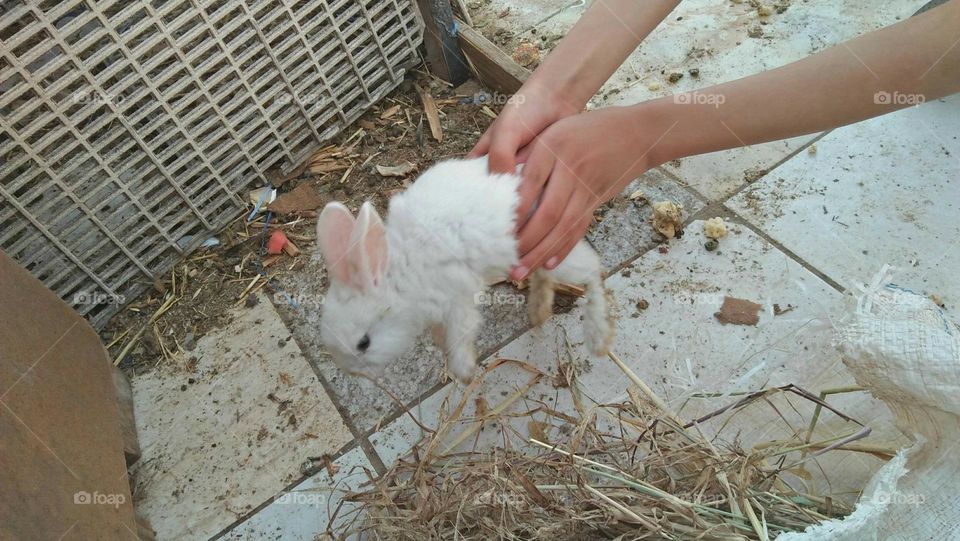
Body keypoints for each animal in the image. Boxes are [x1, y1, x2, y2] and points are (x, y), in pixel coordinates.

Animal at [316, 154, 616, 382]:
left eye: (363, 343)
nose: (353, 373)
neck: (402, 274)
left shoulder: (457, 297)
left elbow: (462, 332)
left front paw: (464, 372)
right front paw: (442, 345)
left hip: (558, 254)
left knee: (593, 271)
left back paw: (598, 339)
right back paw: (540, 312)